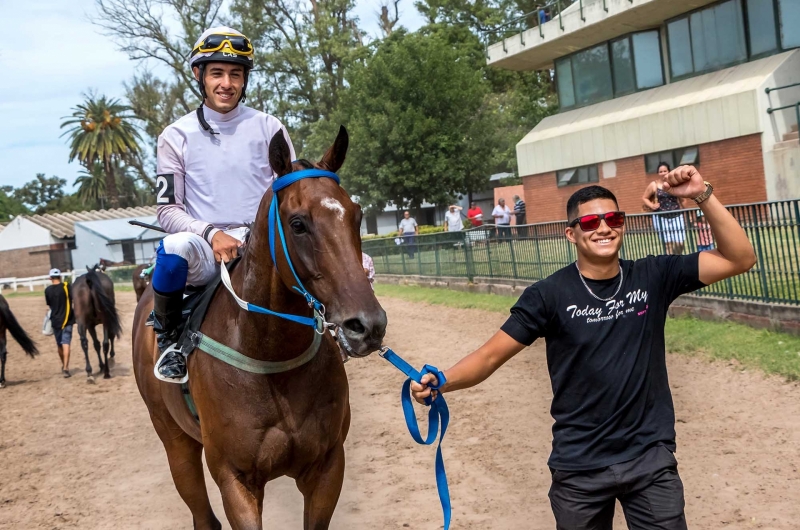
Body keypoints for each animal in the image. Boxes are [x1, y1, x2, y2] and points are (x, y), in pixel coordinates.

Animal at [132, 126, 388, 524]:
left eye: (357, 215)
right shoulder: (235, 480)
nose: (367, 325)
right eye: (297, 223)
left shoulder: (328, 467)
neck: (271, 358)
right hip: (174, 440)